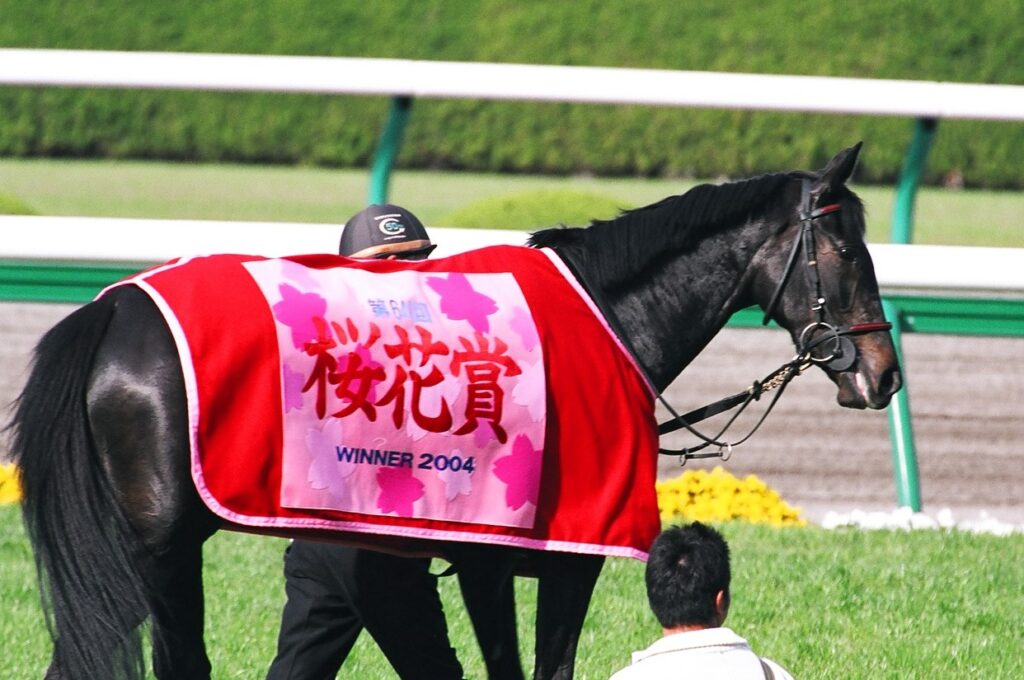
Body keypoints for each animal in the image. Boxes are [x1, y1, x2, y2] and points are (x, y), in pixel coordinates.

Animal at [10, 143, 901, 679]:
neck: (603, 315)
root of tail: (114, 309)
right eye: (847, 250)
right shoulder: (533, 556)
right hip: (157, 545)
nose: (883, 375)